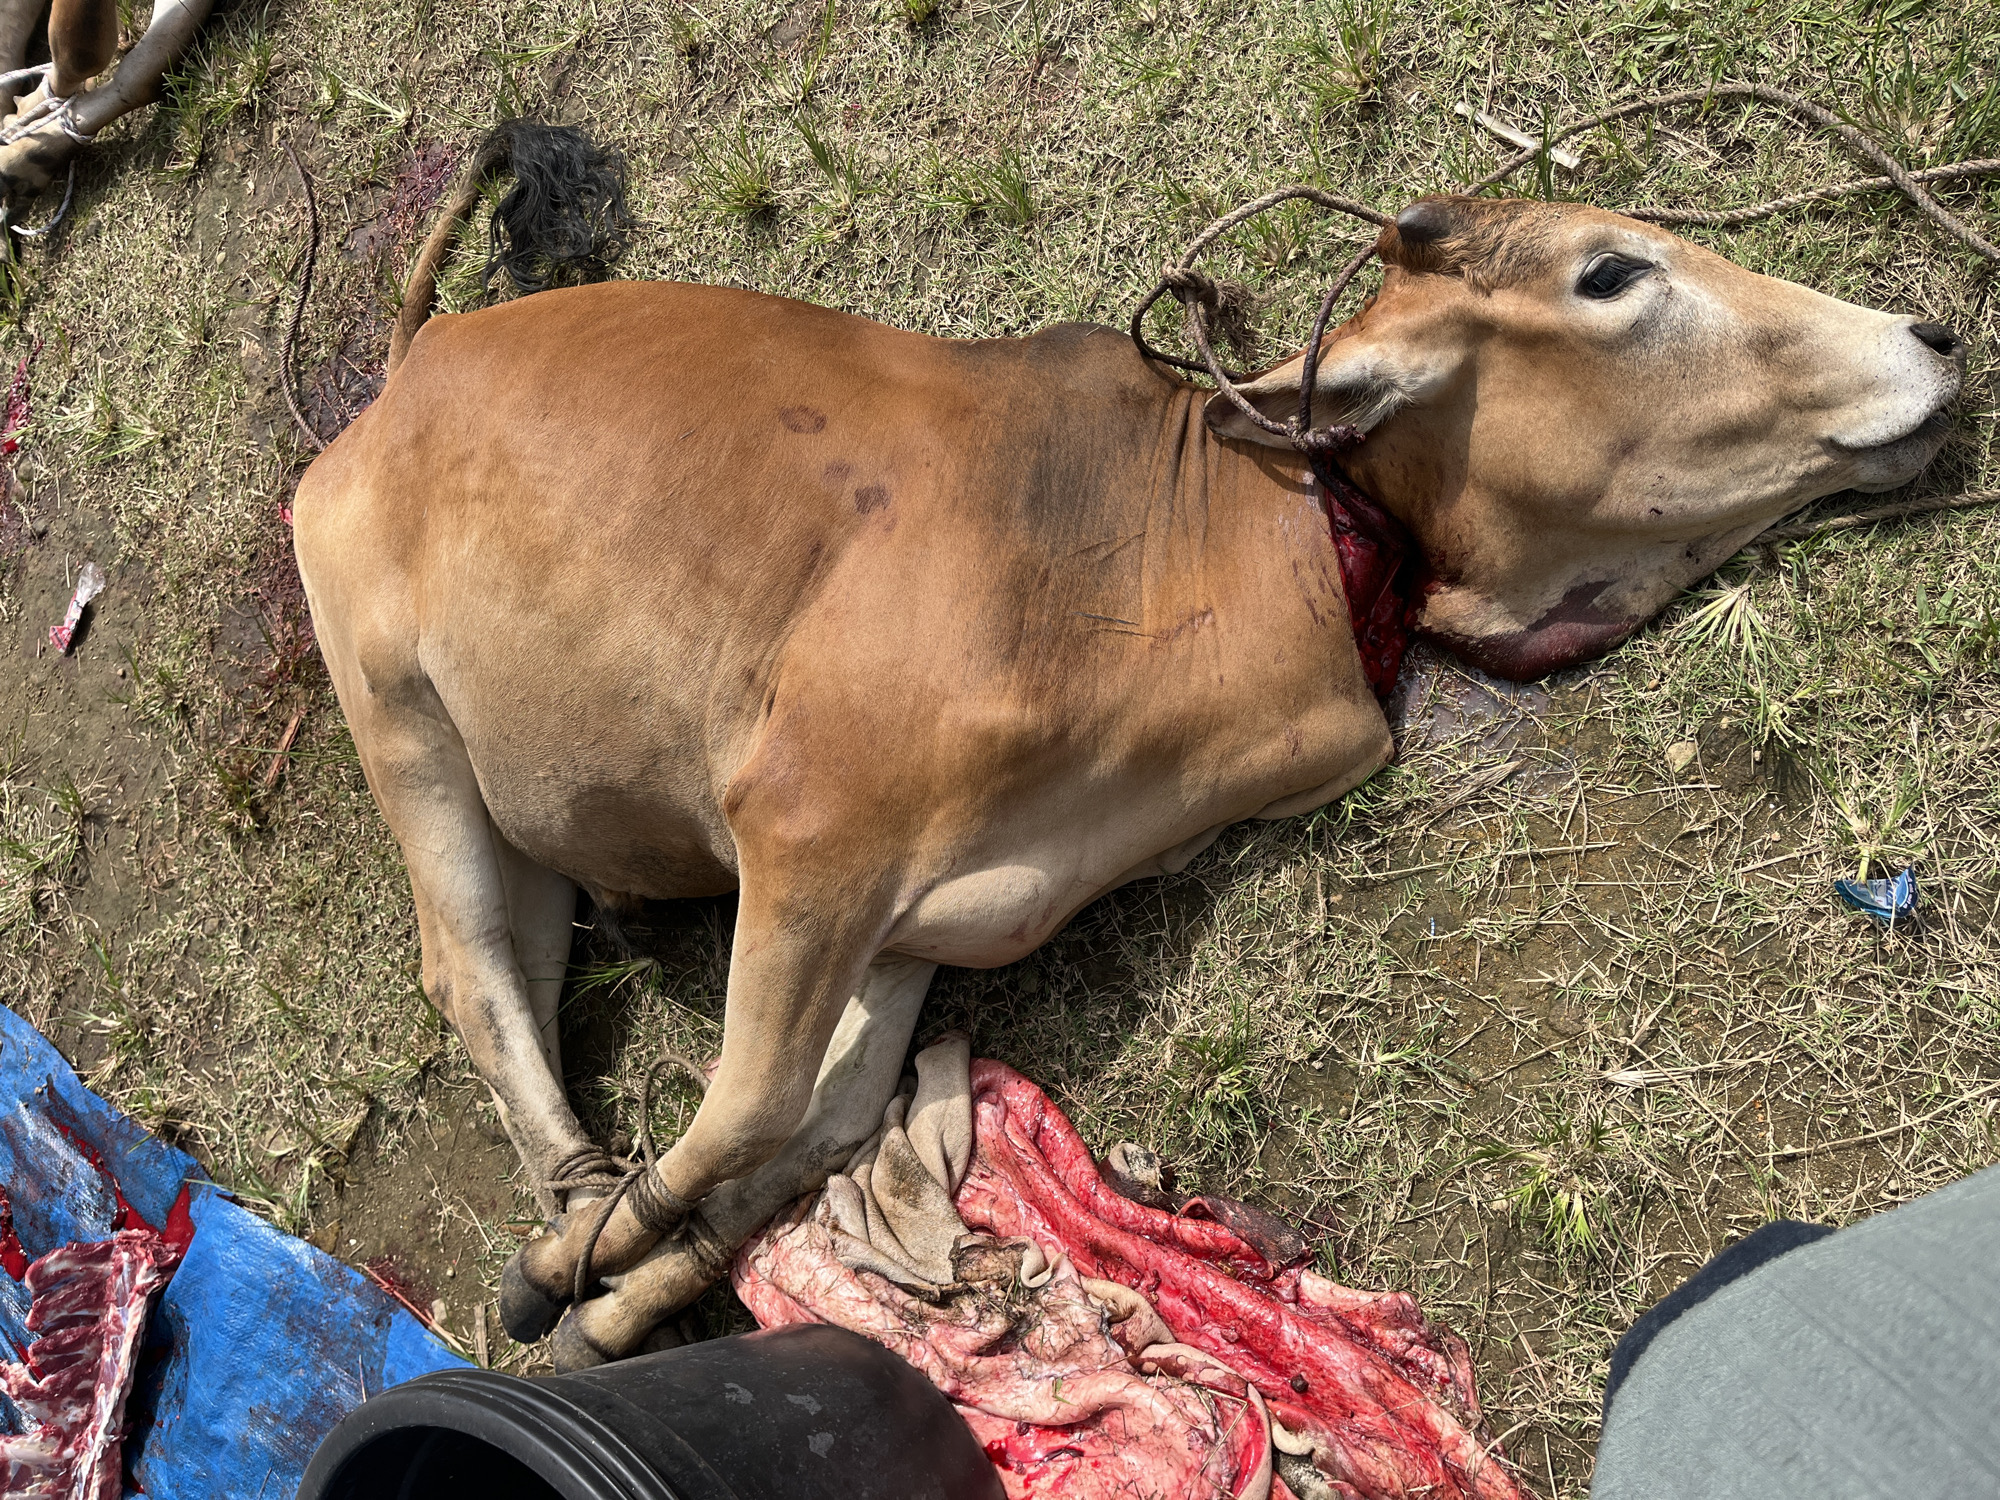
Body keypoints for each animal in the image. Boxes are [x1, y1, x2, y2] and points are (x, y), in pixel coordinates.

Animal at [291, 126, 1964, 1370]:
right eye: (1613, 273)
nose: (1933, 331)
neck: (1212, 541)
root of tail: (413, 361)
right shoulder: (808, 829)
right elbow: (753, 1101)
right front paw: (580, 1263)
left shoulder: (931, 921)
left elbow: (814, 1129)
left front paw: (629, 1292)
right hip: (402, 719)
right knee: (476, 973)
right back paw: (572, 1193)